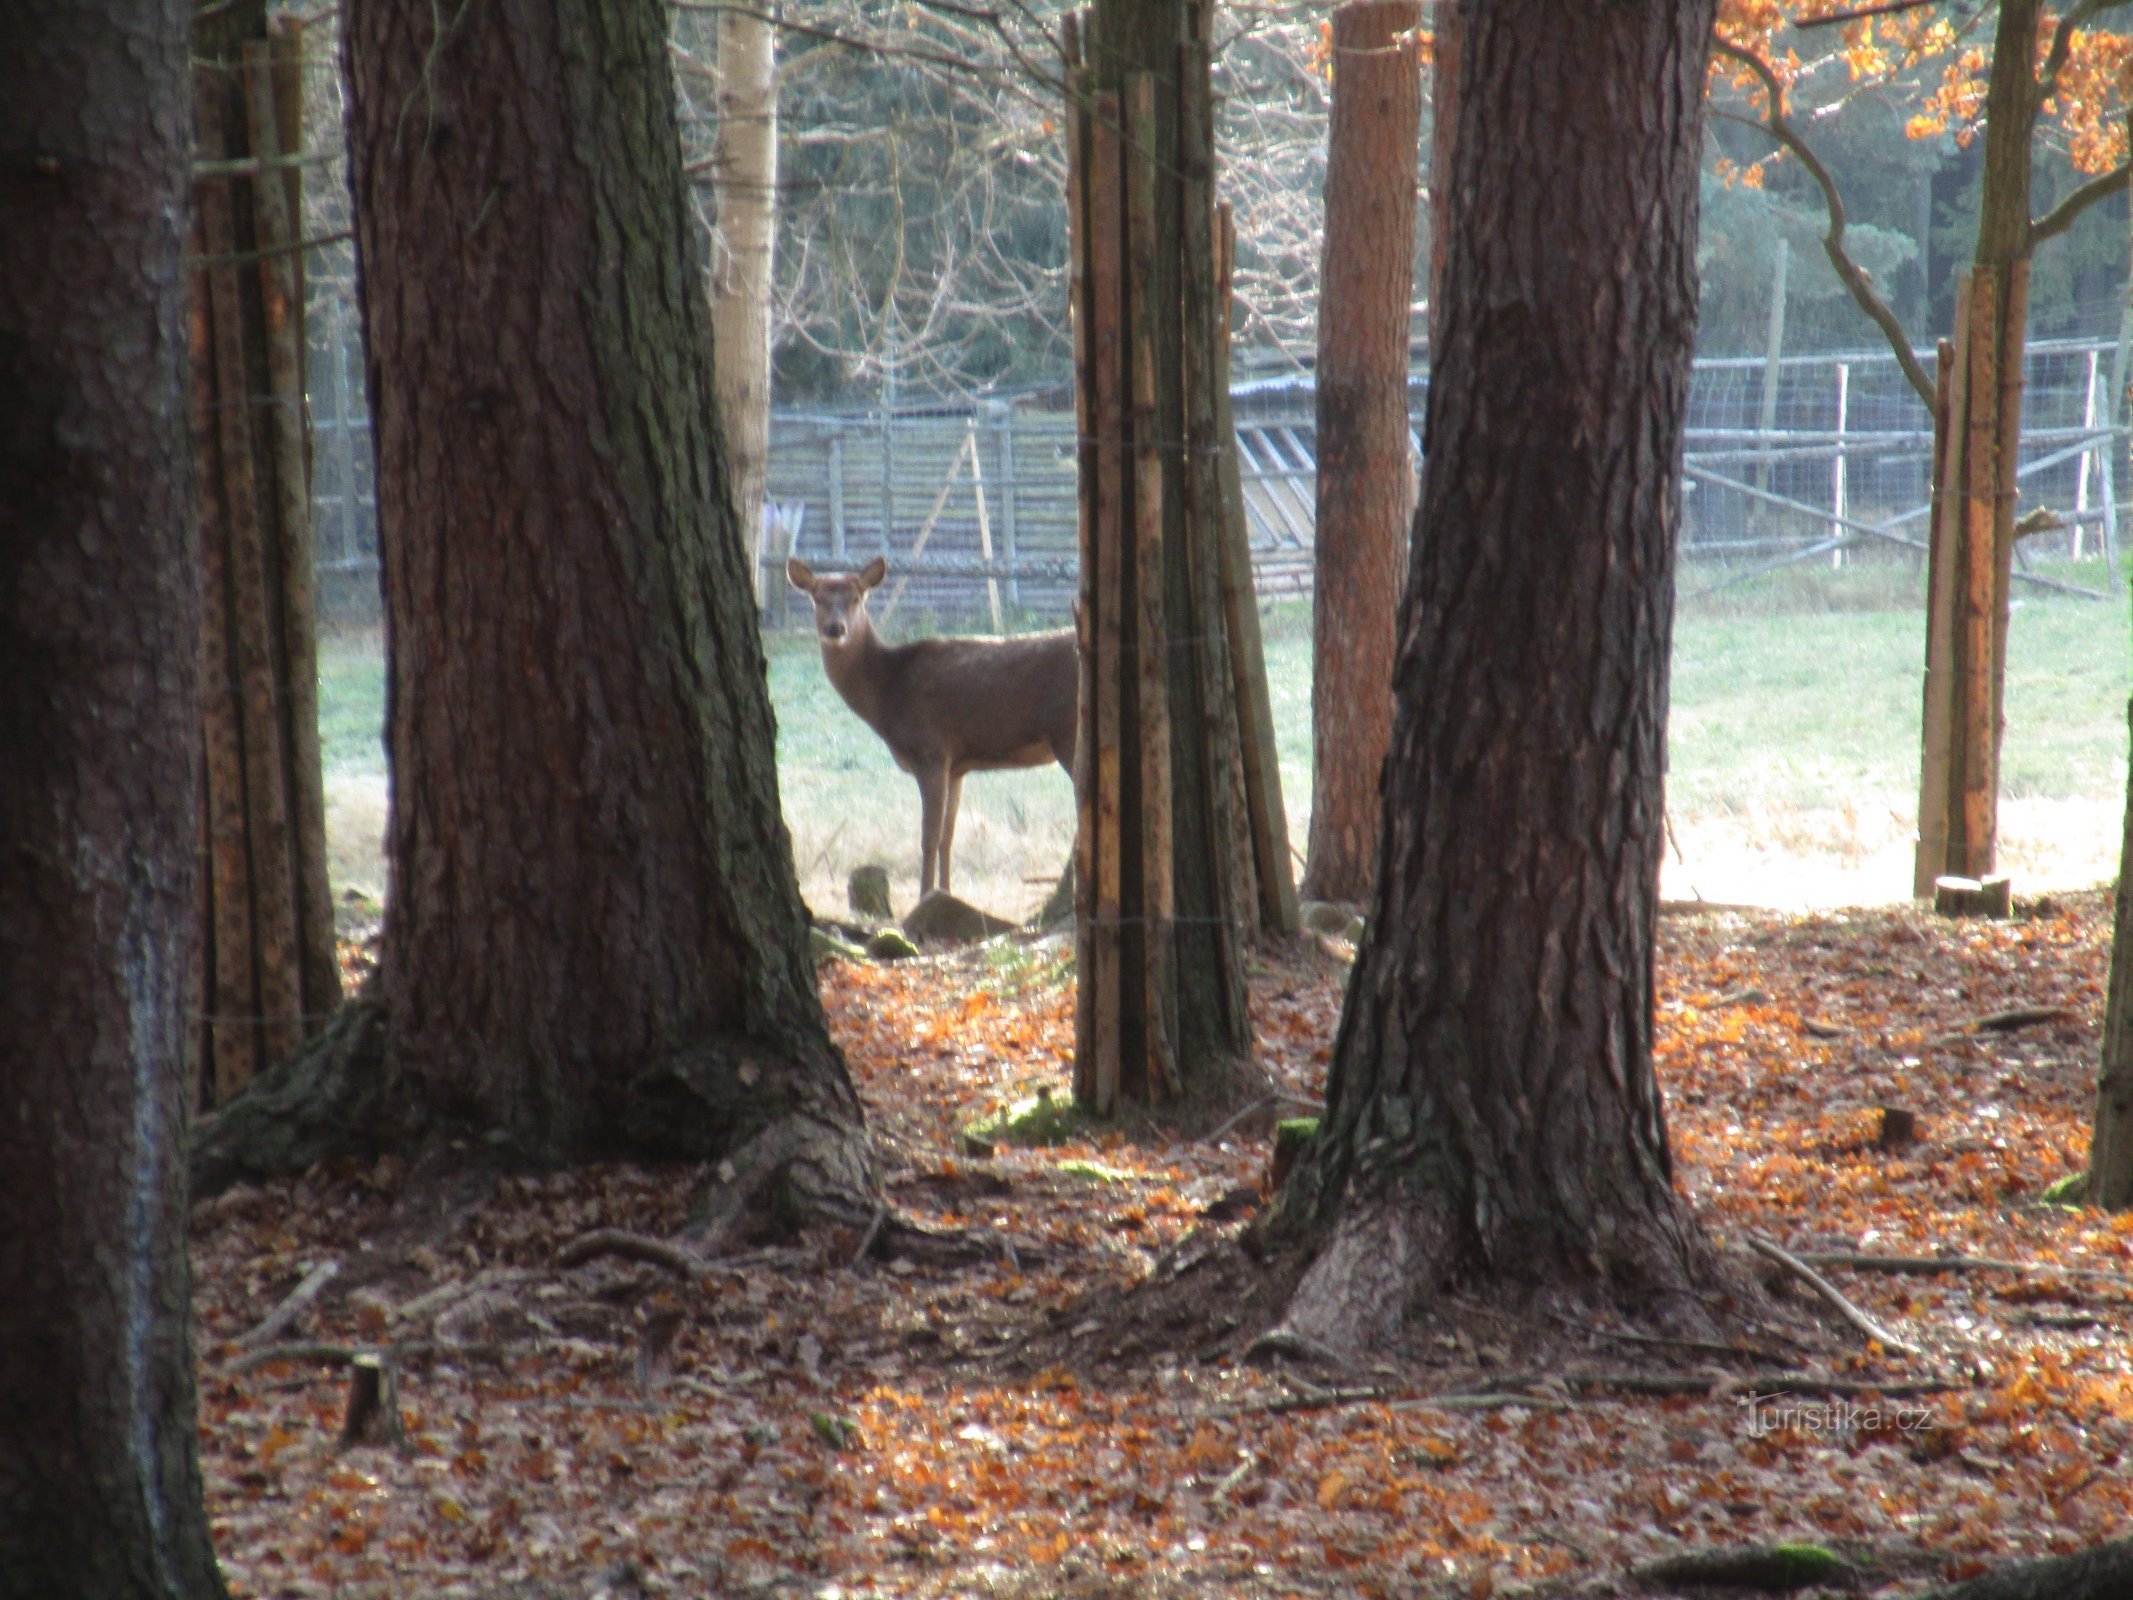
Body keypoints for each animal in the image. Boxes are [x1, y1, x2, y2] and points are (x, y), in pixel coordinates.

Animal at [789, 558, 1083, 904]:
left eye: (856, 598)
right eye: (817, 598)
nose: (835, 629)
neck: (887, 690)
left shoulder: (930, 750)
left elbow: (928, 836)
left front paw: (924, 896)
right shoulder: (957, 766)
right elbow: (947, 835)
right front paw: (946, 893)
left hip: (1067, 733)